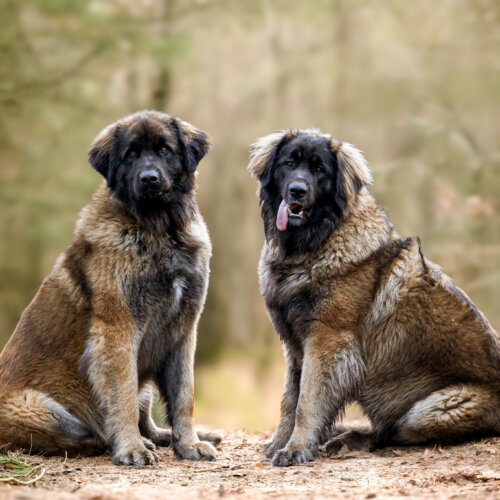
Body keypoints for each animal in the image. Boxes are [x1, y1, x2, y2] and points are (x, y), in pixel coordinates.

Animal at [0, 111, 221, 466]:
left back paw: (167, 437)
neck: (159, 231)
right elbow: (124, 397)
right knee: (84, 434)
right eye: (131, 154)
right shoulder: (118, 331)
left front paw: (189, 443)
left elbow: (184, 395)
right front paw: (131, 449)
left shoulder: (184, 331)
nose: (149, 179)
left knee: (148, 418)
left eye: (164, 150)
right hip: (42, 410)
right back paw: (117, 442)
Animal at [249, 129, 500, 468]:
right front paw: (280, 442)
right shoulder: (295, 347)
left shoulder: (327, 342)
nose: (297, 191)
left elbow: (306, 402)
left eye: (319, 169)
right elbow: (289, 399)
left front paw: (296, 448)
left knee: (391, 433)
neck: (310, 247)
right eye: (289, 163)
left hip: (435, 407)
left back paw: (347, 439)